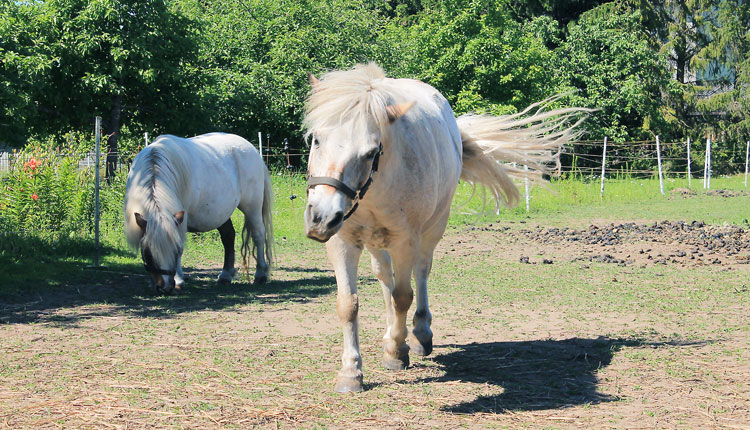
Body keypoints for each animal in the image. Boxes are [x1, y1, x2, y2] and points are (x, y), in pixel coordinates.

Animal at [125, 132, 274, 292]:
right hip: (221, 213)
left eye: (175, 251)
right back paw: (225, 275)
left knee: (258, 234)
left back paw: (260, 274)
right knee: (228, 236)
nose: (165, 287)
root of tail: (252, 149)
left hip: (252, 206)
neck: (155, 168)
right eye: (148, 254)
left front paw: (179, 281)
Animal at [302, 62, 592, 392]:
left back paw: (419, 336)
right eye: (316, 139)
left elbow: (403, 296)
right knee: (385, 277)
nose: (320, 217)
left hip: (430, 231)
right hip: (376, 242)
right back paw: (391, 335)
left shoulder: (405, 241)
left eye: (371, 152)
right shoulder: (343, 241)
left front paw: (397, 352)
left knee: (420, 273)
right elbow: (348, 304)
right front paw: (351, 371)